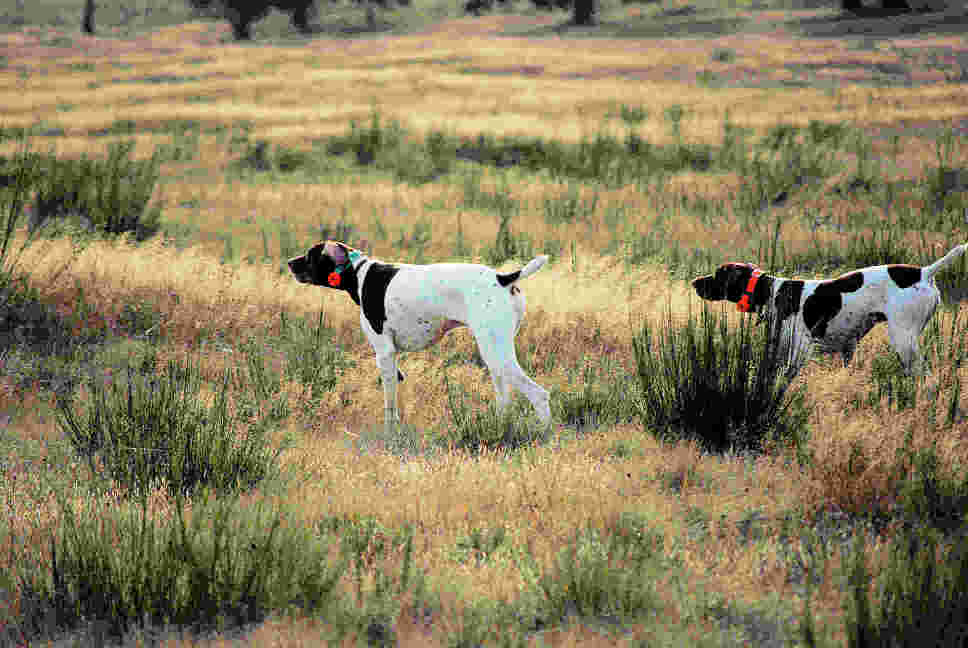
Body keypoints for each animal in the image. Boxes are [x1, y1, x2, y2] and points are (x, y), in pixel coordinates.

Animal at [286, 242, 552, 430]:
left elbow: (389, 406)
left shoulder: (384, 354)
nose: (289, 262)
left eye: (310, 255)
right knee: (505, 401)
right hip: (495, 356)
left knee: (539, 395)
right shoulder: (393, 360)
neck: (360, 274)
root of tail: (502, 277)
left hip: (496, 353)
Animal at [692, 242, 964, 374]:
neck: (772, 291)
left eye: (718, 274)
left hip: (903, 340)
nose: (694, 282)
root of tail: (924, 272)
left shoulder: (800, 351)